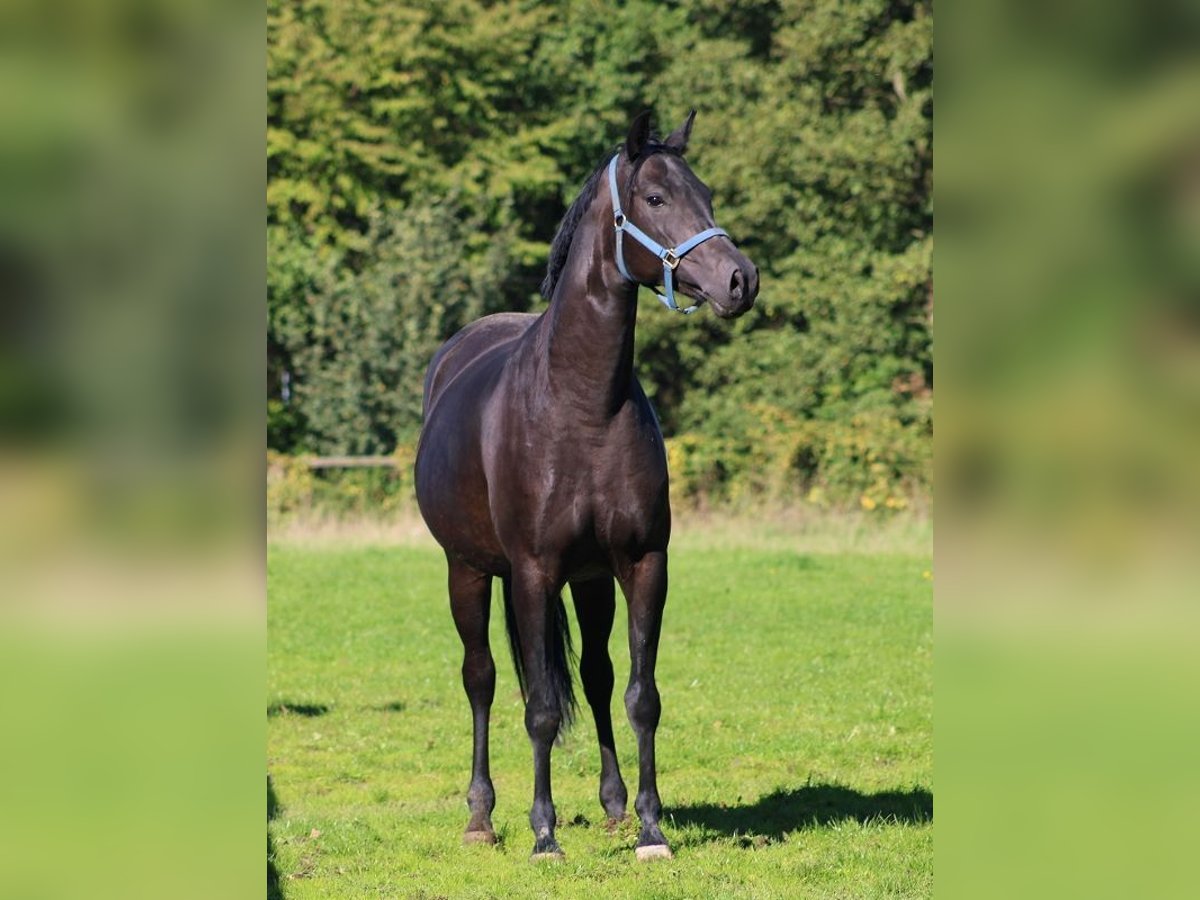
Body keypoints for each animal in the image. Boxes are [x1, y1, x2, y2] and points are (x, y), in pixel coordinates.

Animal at [415, 109, 758, 864]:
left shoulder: (641, 563)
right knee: (483, 679)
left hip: (591, 580)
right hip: (469, 570)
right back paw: (482, 818)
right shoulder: (534, 570)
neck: (581, 405)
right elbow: (541, 707)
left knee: (597, 677)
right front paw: (543, 836)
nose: (740, 280)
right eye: (655, 199)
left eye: (707, 194)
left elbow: (639, 695)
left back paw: (612, 806)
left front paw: (651, 828)